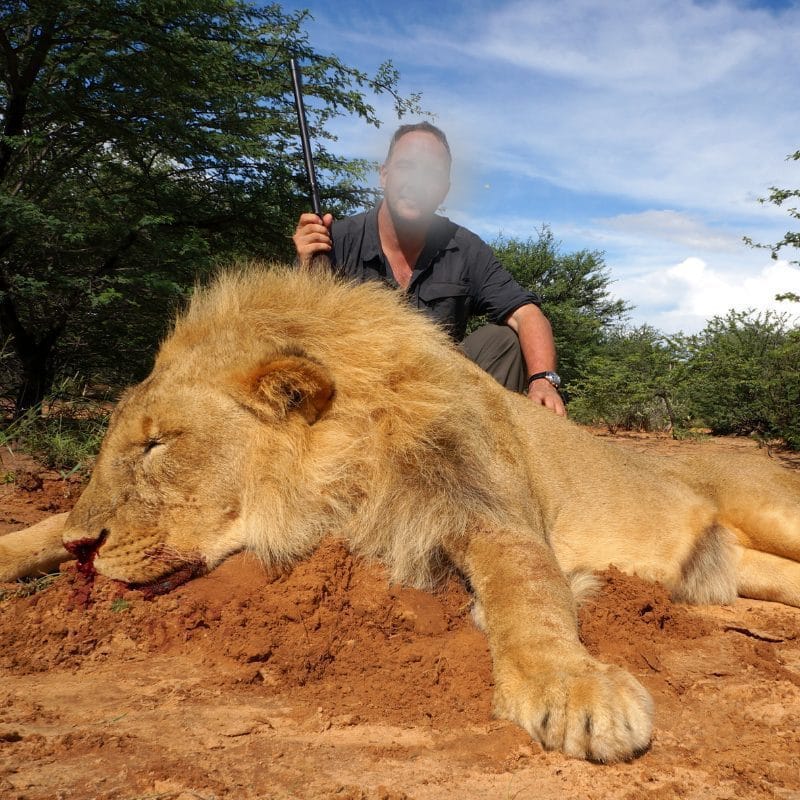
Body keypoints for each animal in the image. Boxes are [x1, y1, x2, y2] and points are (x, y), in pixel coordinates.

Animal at [2, 266, 799, 764]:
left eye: (158, 443)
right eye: (115, 443)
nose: (85, 545)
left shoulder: (488, 509)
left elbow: (529, 596)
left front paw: (575, 690)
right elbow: (40, 525)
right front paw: (36, 543)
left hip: (773, 502)